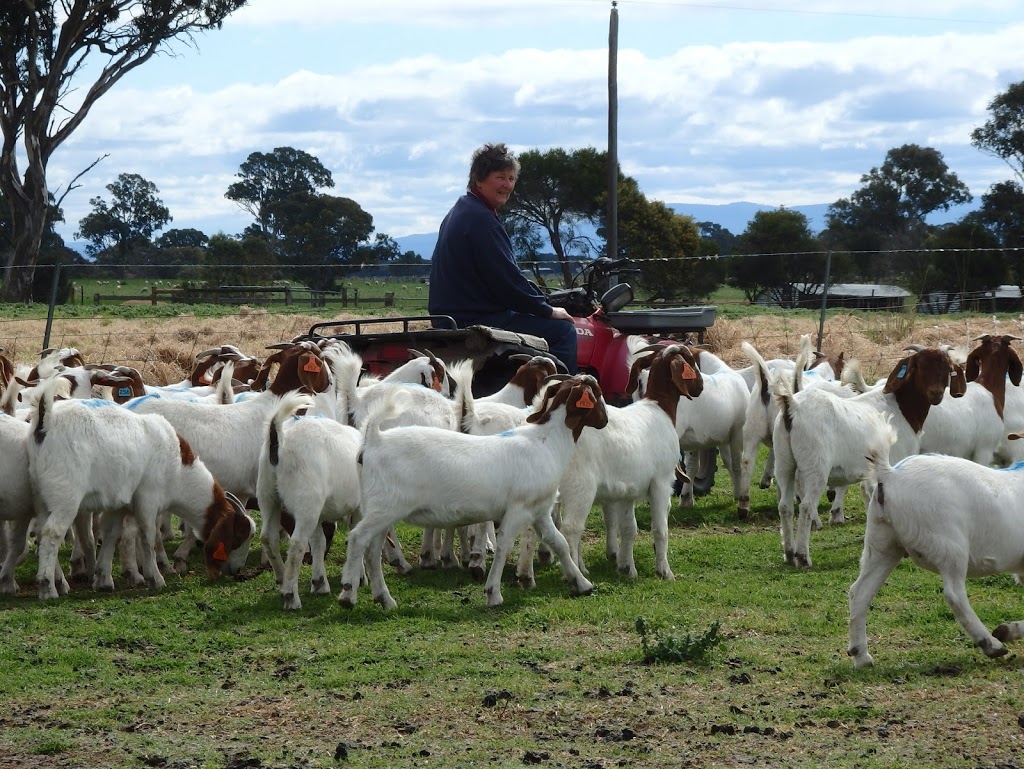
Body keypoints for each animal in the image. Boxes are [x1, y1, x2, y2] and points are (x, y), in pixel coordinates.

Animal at [335, 376, 606, 610]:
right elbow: (504, 546)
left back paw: (385, 599)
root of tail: (374, 439)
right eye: (597, 393)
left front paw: (581, 583)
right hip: (384, 507)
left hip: (380, 508)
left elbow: (558, 542)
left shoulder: (539, 510)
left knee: (372, 549)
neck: (547, 442)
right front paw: (493, 593)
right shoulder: (518, 509)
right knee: (358, 538)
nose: (604, 422)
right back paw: (348, 594)